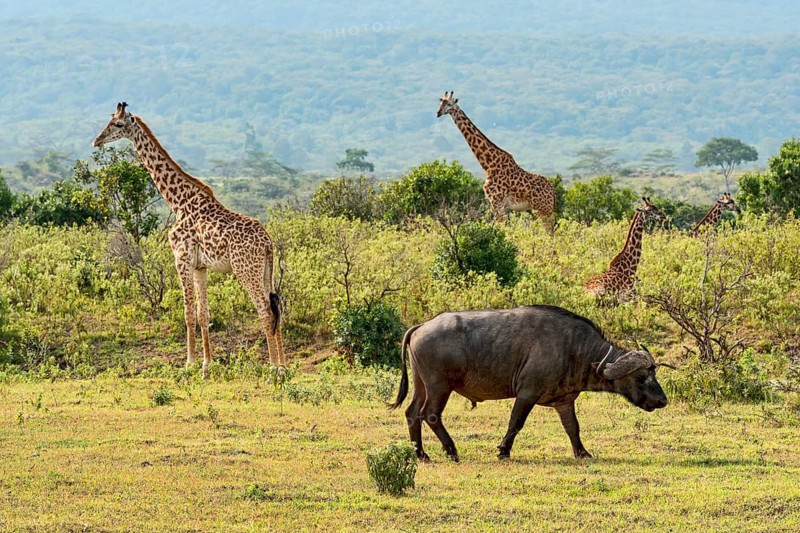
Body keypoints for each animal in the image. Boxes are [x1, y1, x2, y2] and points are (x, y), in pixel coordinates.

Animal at [93, 103, 286, 378]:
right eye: (109, 120)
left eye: (118, 124)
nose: (97, 140)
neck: (177, 201)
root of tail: (268, 243)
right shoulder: (200, 266)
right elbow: (204, 314)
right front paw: (207, 366)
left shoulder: (181, 259)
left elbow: (188, 313)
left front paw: (189, 364)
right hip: (266, 269)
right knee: (277, 306)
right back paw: (284, 365)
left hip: (245, 269)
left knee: (265, 311)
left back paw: (273, 368)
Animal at [390, 305, 672, 461]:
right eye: (640, 377)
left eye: (654, 373)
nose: (662, 400)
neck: (574, 349)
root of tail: (422, 326)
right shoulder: (527, 394)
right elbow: (516, 422)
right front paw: (503, 450)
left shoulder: (564, 401)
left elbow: (573, 428)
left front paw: (582, 452)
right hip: (439, 386)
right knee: (431, 414)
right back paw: (451, 451)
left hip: (422, 384)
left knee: (412, 413)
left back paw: (421, 454)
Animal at [436, 91, 557, 233]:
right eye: (440, 102)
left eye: (449, 104)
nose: (438, 113)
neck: (488, 164)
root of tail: (552, 191)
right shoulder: (502, 207)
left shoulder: (497, 203)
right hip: (545, 209)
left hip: (542, 209)